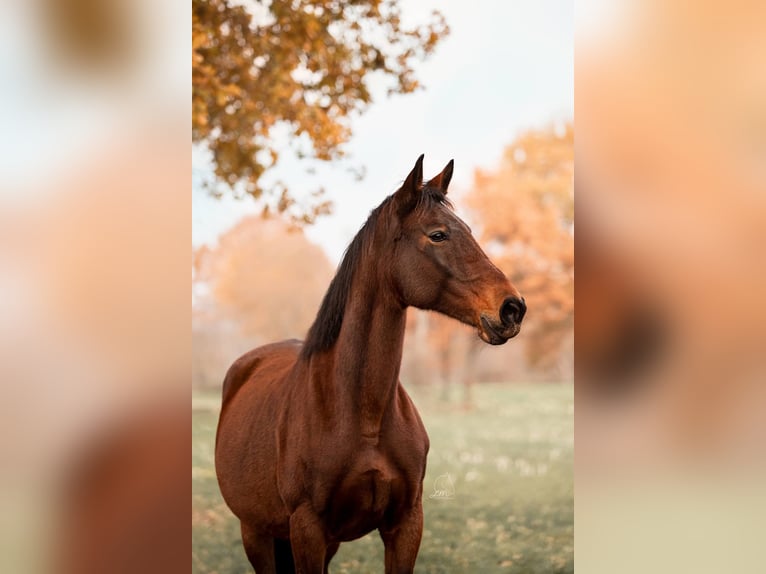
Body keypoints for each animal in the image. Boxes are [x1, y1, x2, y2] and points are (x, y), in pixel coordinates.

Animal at [215, 155, 526, 573]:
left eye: (469, 231)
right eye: (438, 235)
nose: (512, 308)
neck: (362, 415)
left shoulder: (405, 524)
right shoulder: (307, 529)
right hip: (256, 534)